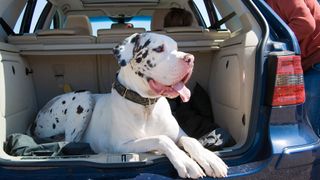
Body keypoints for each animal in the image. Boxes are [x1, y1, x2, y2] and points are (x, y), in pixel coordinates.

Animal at [31, 32, 228, 179]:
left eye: (177, 48)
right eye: (159, 48)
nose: (190, 58)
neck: (147, 106)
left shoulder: (179, 134)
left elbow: (190, 140)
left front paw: (210, 159)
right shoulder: (121, 146)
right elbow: (161, 139)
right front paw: (186, 162)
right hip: (83, 98)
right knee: (69, 142)